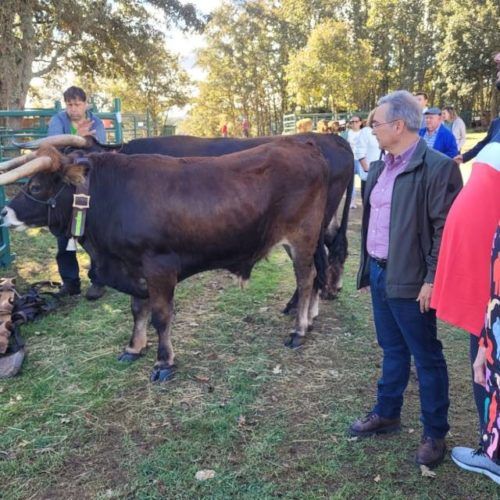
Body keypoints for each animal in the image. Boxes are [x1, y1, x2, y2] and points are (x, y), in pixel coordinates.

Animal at [1, 139, 330, 380]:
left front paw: (163, 362)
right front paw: (134, 348)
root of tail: (303, 145)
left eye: (34, 186)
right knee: (315, 276)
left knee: (306, 279)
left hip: (302, 237)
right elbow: (137, 310)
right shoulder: (134, 268)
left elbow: (160, 316)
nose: (5, 212)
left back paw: (299, 330)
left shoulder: (159, 268)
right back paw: (310, 319)